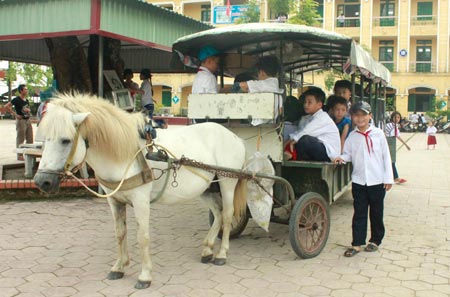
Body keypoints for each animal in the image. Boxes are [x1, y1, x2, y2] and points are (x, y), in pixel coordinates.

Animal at [33, 93, 248, 288]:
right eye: (44, 140)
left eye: (65, 140)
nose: (42, 181)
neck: (125, 152)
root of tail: (234, 137)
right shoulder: (114, 201)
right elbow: (120, 233)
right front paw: (119, 267)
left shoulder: (140, 200)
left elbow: (142, 237)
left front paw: (145, 276)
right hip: (206, 188)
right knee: (218, 213)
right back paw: (207, 249)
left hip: (227, 183)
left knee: (227, 215)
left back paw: (221, 254)